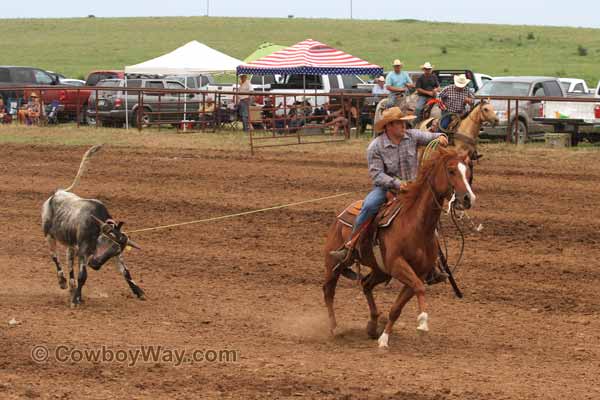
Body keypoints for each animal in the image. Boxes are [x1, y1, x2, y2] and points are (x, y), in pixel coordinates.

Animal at [324, 148, 478, 348]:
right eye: (451, 170)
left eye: (468, 173)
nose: (468, 198)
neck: (416, 225)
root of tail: (339, 216)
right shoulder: (398, 264)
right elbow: (419, 288)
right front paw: (423, 323)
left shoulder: (418, 272)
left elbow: (398, 307)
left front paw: (384, 338)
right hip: (333, 263)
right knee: (328, 291)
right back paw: (335, 329)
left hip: (381, 271)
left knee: (366, 284)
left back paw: (373, 325)